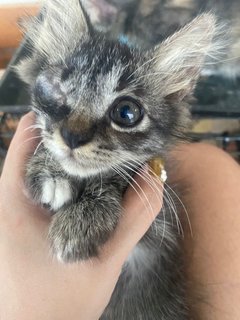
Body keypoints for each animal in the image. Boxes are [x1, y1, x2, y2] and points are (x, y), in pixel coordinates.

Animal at [15, 1, 219, 318]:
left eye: (126, 113)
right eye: (58, 90)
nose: (72, 137)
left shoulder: (158, 228)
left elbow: (118, 174)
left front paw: (83, 218)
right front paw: (48, 169)